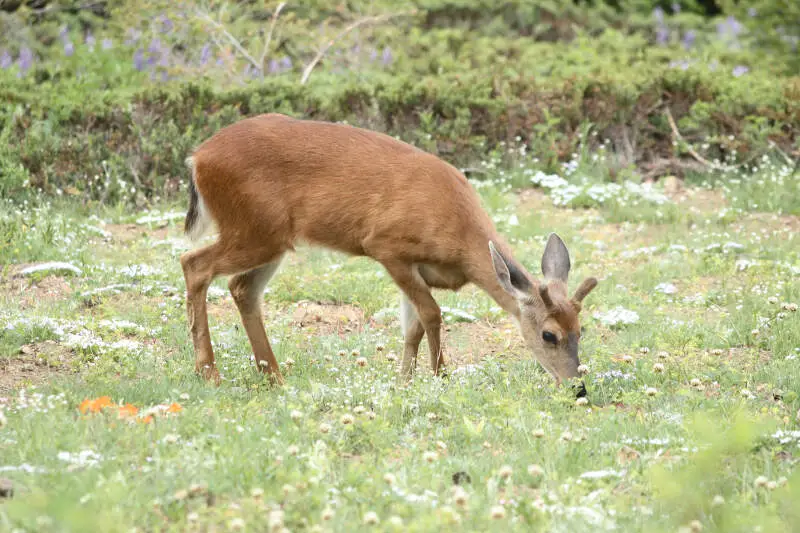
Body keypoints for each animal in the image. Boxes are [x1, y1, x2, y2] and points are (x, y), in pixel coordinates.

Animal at [178, 112, 596, 394]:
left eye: (581, 330)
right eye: (548, 335)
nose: (576, 387)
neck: (459, 236)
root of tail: (197, 158)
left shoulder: (416, 268)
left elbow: (412, 325)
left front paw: (405, 380)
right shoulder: (386, 246)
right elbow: (432, 313)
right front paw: (439, 376)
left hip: (270, 238)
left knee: (241, 288)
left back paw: (274, 375)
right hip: (254, 229)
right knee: (194, 264)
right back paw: (209, 372)